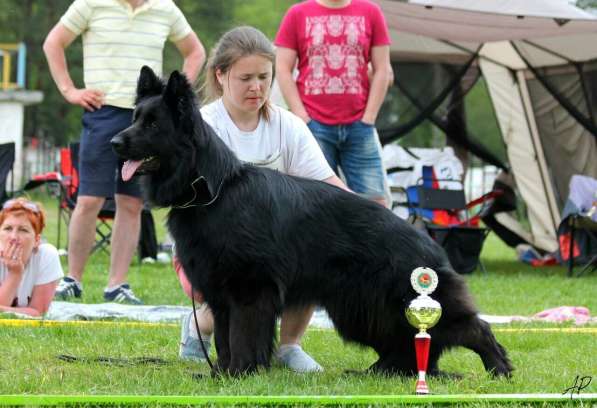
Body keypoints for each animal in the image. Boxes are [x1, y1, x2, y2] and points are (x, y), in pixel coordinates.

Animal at [112, 66, 512, 376]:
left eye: (152, 124)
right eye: (135, 119)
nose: (114, 143)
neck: (213, 189)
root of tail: (427, 243)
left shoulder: (248, 290)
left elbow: (241, 336)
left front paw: (240, 372)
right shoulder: (221, 293)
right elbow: (224, 339)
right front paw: (223, 374)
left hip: (403, 301)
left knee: (474, 328)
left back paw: (498, 369)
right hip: (365, 309)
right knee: (405, 344)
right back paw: (383, 371)